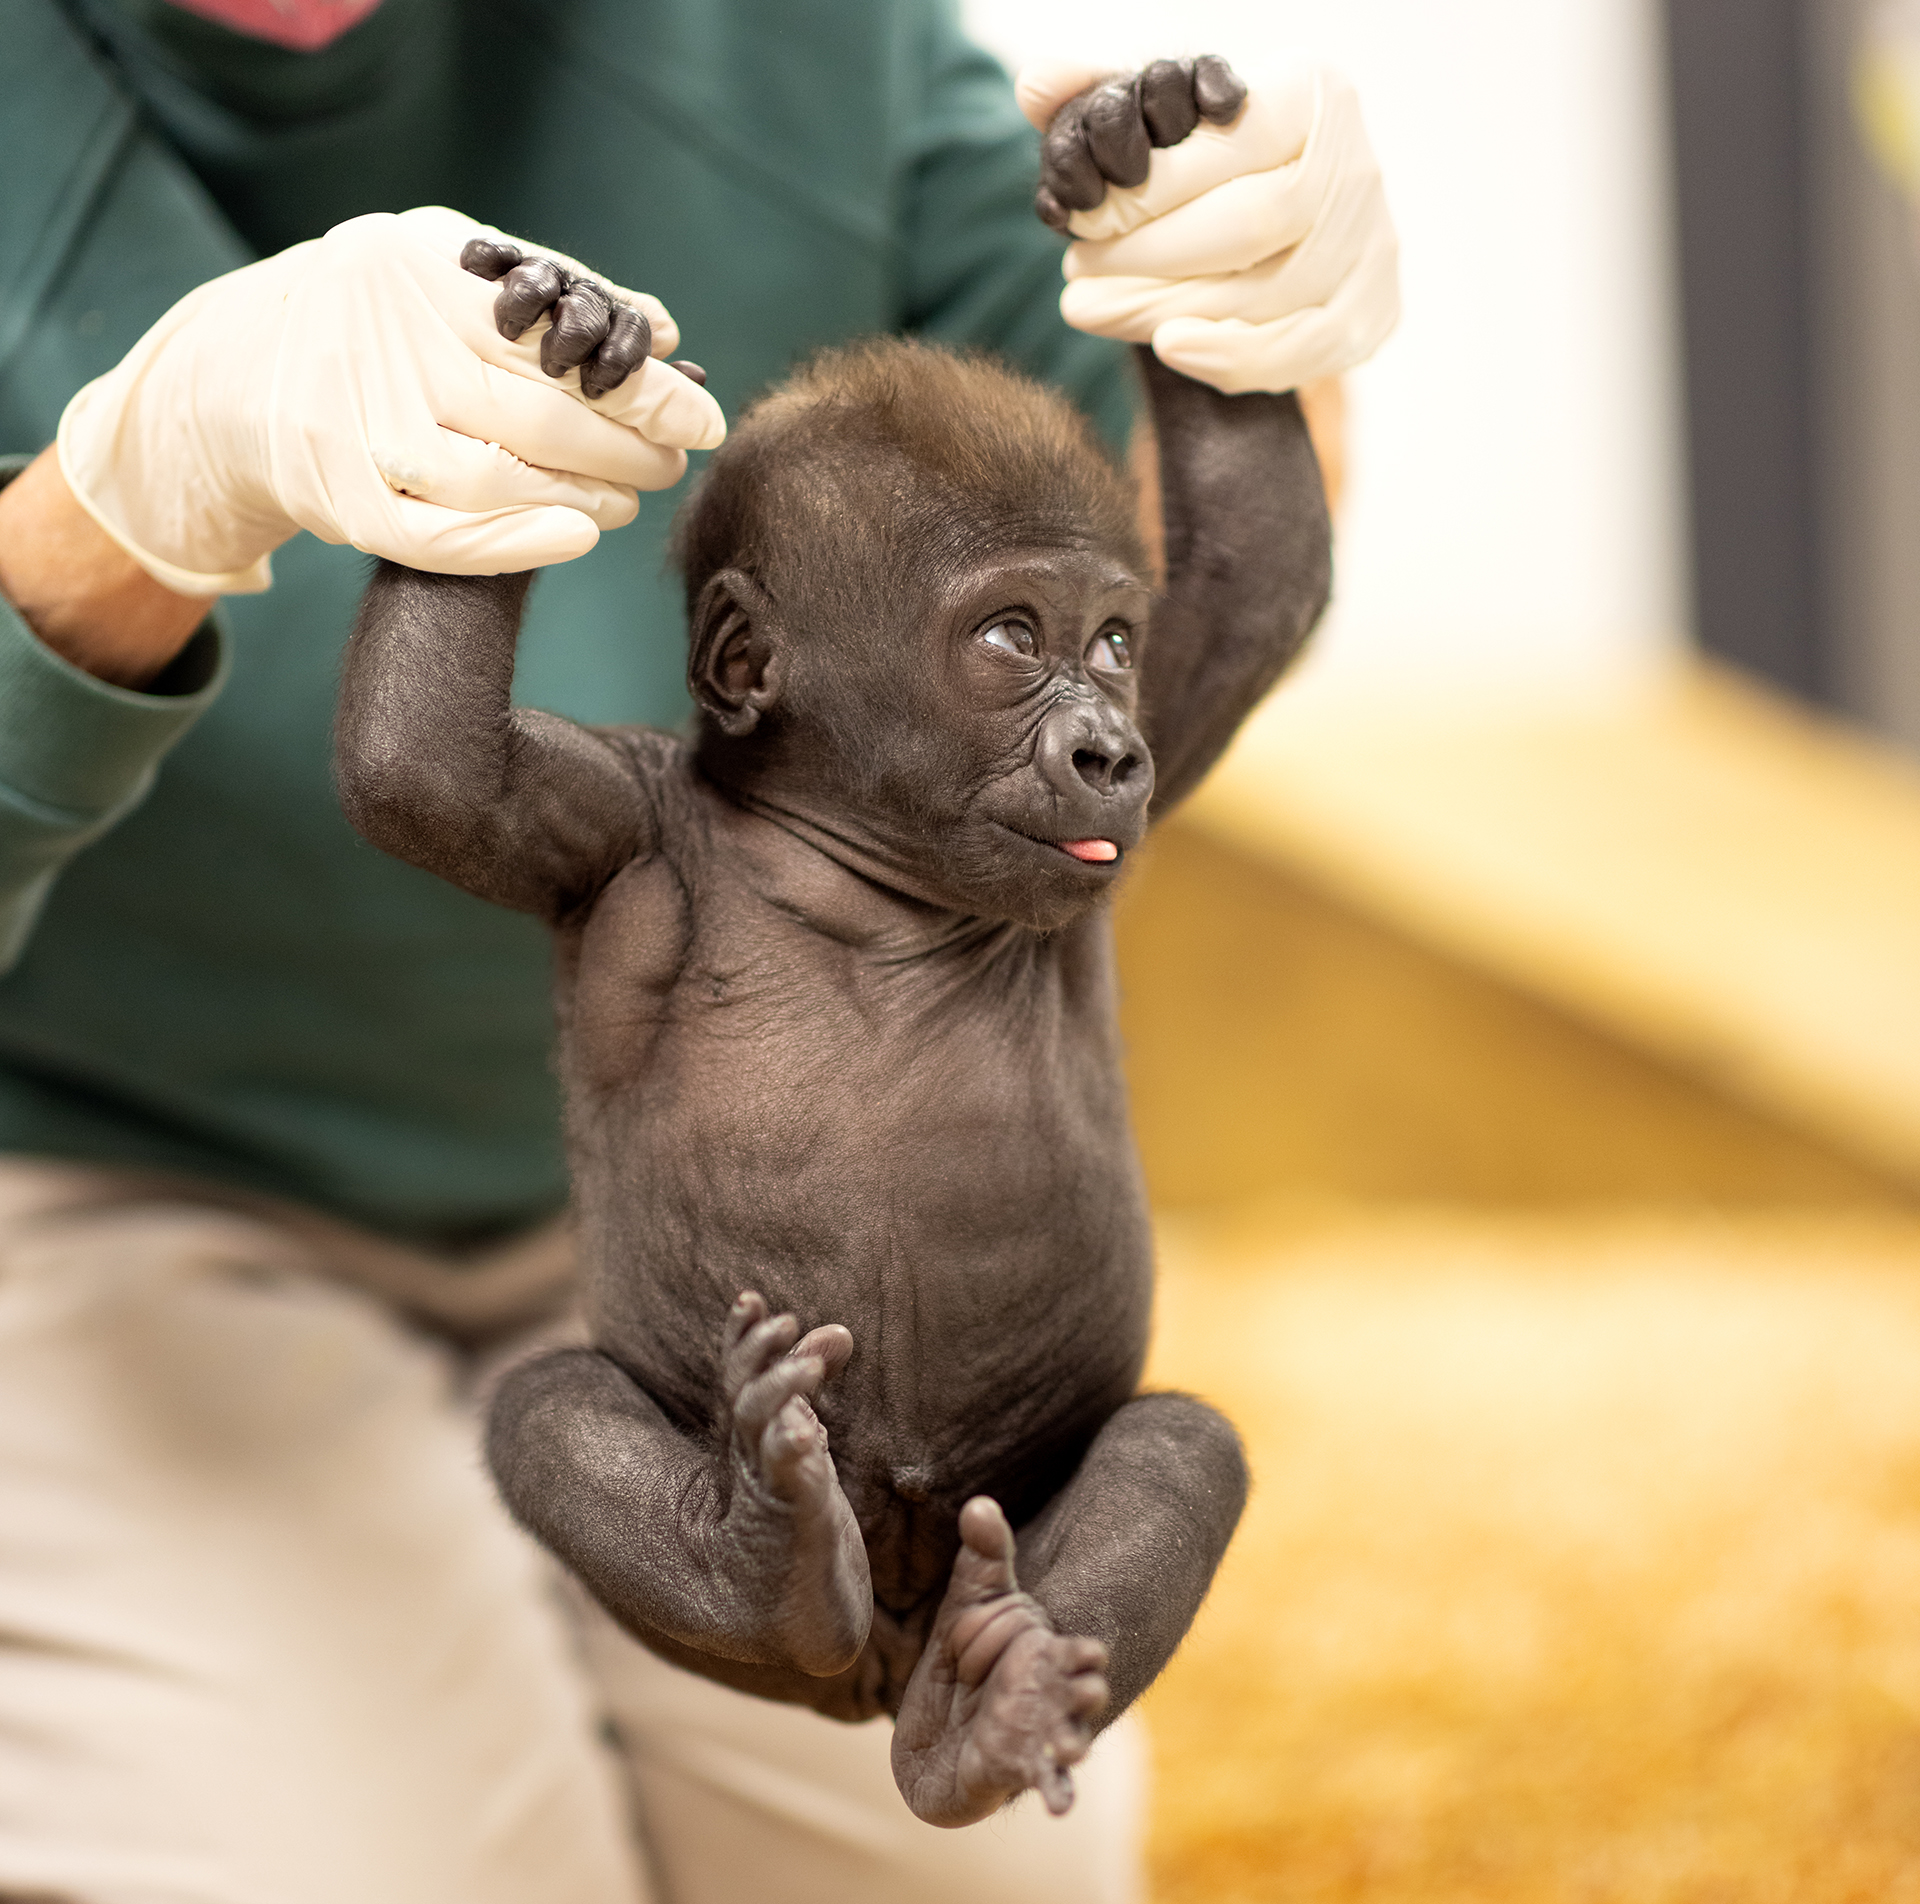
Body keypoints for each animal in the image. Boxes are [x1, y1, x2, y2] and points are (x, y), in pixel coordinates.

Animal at [334, 78, 1320, 1827]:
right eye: (1011, 639)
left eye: (1114, 645)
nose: (1108, 755)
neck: (859, 862)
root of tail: (875, 1659)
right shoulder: (610, 818)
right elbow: (419, 770)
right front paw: (540, 368)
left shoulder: (1160, 744)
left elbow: (1258, 587)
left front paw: (1156, 170)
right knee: (547, 1408)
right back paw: (757, 1561)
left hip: (989, 1547)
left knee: (1180, 1448)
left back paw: (983, 1710)